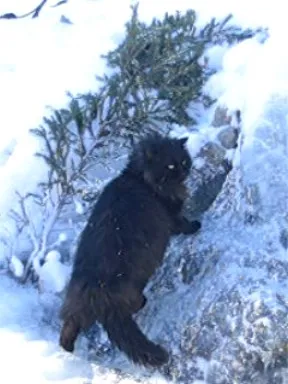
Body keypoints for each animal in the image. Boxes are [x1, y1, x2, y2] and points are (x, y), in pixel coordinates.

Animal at [59, 134, 201, 368]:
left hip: (76, 310)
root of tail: (99, 295)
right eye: (171, 165)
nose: (184, 171)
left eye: (183, 161)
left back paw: (67, 352)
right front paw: (196, 224)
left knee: (67, 328)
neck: (138, 178)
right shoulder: (171, 215)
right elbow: (184, 223)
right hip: (132, 288)